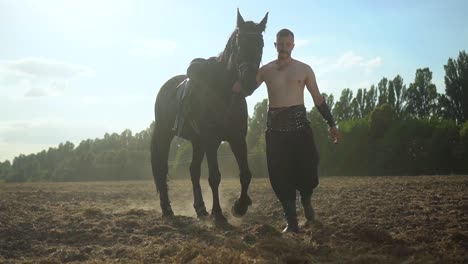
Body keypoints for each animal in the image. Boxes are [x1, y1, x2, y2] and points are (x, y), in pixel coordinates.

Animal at [150, 9, 266, 221]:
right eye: (239, 44)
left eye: (260, 45)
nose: (248, 81)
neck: (224, 93)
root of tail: (167, 86)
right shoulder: (212, 140)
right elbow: (214, 176)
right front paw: (218, 214)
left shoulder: (237, 138)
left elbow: (246, 173)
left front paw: (240, 206)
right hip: (165, 135)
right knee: (161, 168)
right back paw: (168, 209)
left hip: (197, 142)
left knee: (193, 171)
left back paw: (201, 208)